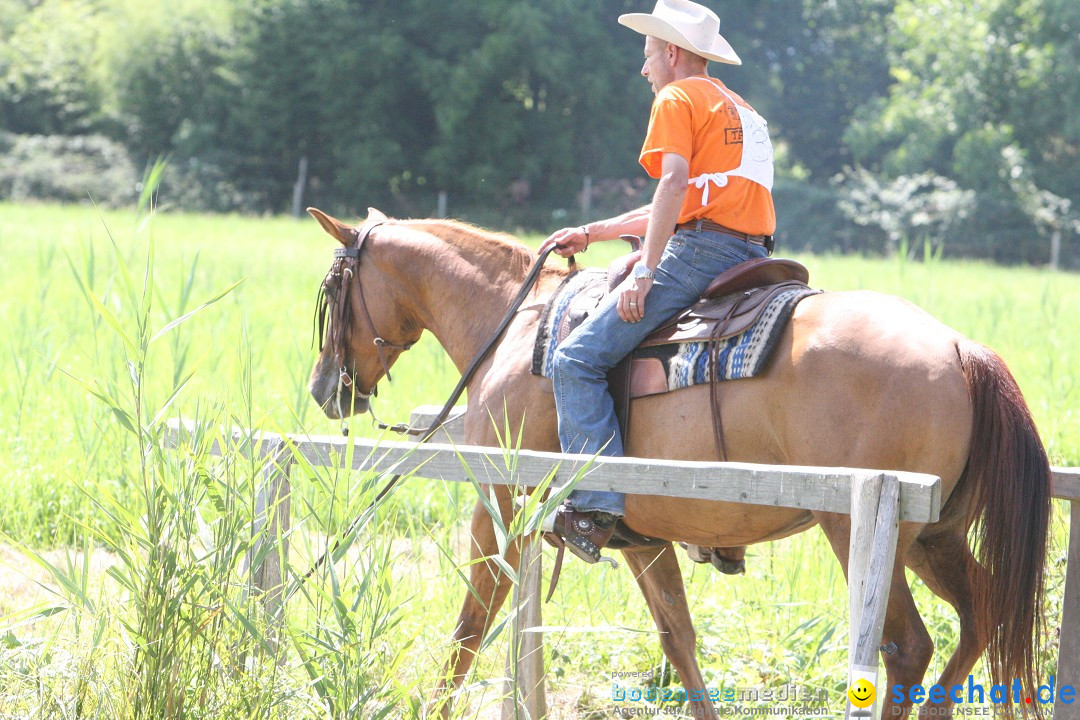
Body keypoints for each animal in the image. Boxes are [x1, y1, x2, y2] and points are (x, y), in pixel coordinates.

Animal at [308, 205, 1049, 716]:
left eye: (332, 293)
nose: (323, 389)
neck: (515, 327)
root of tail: (959, 348)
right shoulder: (642, 538)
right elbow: (679, 642)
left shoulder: (500, 509)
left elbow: (469, 628)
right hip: (934, 537)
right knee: (982, 614)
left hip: (868, 536)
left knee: (908, 648)